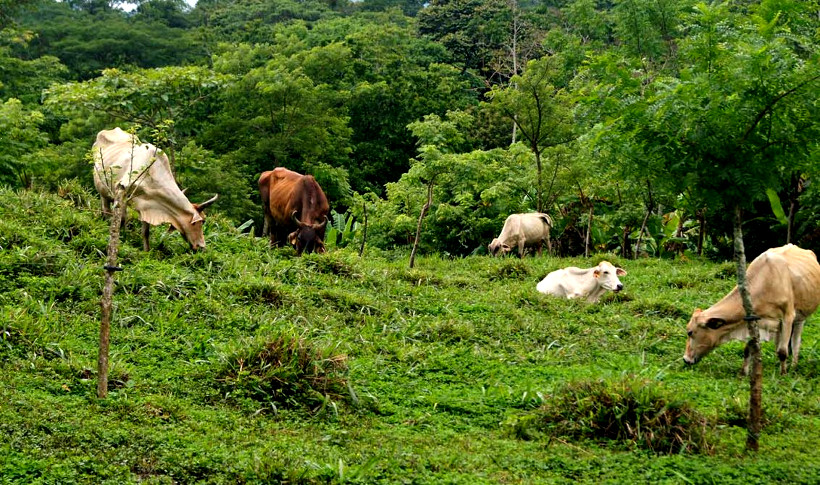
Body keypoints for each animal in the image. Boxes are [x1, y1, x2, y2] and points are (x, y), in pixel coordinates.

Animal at [684, 244, 820, 376]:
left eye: (690, 332)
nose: (685, 359)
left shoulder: (788, 316)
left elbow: (782, 351)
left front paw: (783, 374)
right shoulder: (752, 320)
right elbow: (748, 349)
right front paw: (743, 373)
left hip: (800, 317)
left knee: (796, 342)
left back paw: (793, 366)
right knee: (778, 341)